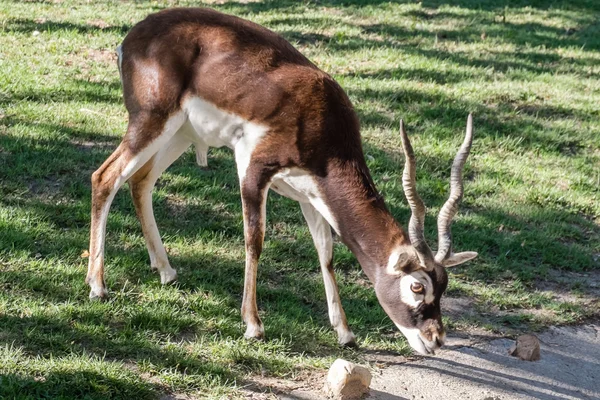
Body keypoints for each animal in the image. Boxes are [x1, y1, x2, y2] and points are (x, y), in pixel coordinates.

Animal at [85, 7, 478, 354]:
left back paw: (165, 270)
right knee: (105, 177)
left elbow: (326, 252)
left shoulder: (312, 194)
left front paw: (345, 333)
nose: (435, 340)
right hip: (151, 121)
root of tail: (135, 34)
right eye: (417, 287)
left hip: (179, 133)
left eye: (444, 286)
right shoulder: (254, 167)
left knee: (141, 181)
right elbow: (254, 241)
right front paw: (253, 325)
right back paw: (98, 286)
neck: (322, 124)